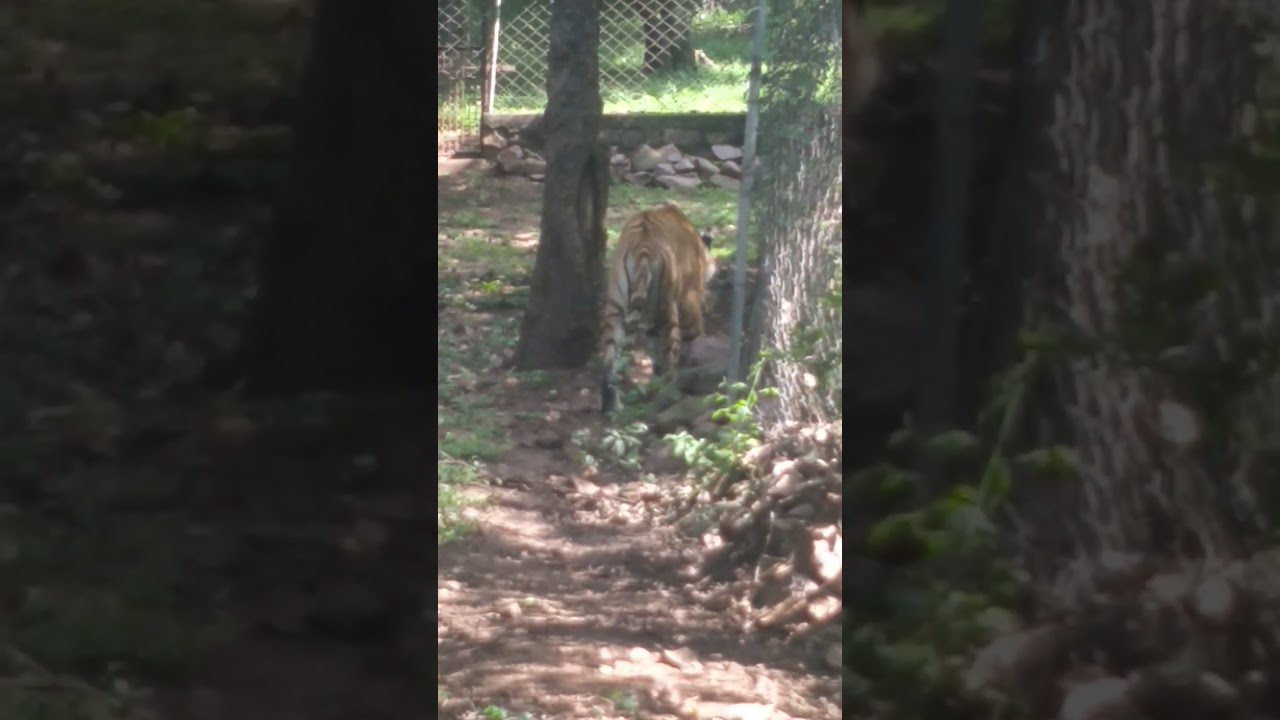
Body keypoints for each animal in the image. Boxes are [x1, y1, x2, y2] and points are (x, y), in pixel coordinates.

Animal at [599, 203, 715, 415]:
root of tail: (642, 247)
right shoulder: (689, 307)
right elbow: (693, 345)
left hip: (614, 309)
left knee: (609, 362)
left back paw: (611, 407)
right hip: (668, 310)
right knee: (671, 357)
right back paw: (670, 394)